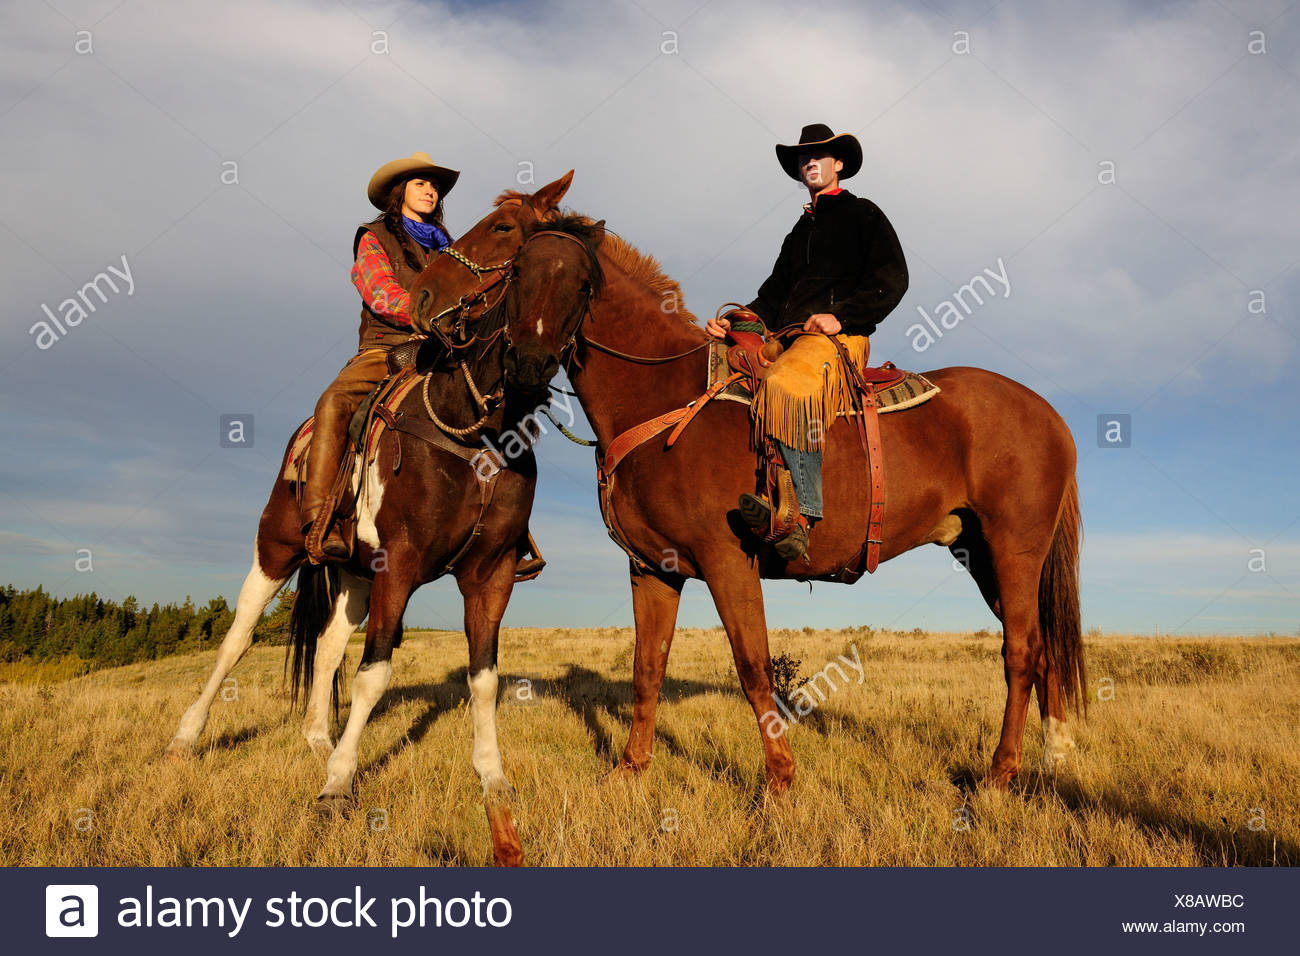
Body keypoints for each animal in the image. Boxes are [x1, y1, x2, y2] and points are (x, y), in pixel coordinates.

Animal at [163, 174, 595, 868]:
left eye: (586, 284)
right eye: (509, 239)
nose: (531, 362)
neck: (476, 430)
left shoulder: (490, 575)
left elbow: (482, 680)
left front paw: (494, 781)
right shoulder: (402, 564)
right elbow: (374, 675)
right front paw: (338, 788)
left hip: (353, 577)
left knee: (328, 643)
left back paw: (318, 740)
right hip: (277, 551)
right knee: (237, 638)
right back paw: (187, 738)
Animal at [491, 222, 1081, 790]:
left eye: (581, 284)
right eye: (516, 272)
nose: (527, 364)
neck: (665, 397)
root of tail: (1051, 415)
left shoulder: (728, 561)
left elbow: (753, 666)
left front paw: (779, 779)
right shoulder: (652, 569)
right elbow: (647, 669)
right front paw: (629, 770)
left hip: (1014, 551)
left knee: (1021, 652)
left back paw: (999, 774)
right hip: (982, 556)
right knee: (1044, 648)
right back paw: (1054, 759)